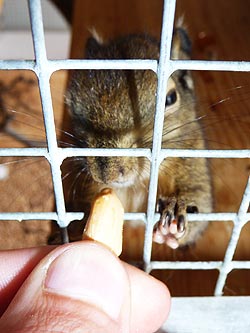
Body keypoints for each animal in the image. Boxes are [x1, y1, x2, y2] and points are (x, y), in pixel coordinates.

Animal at [65, 26, 213, 249]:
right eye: (73, 107)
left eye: (171, 98)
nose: (107, 174)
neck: (136, 186)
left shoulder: (193, 161)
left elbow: (201, 200)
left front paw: (174, 216)